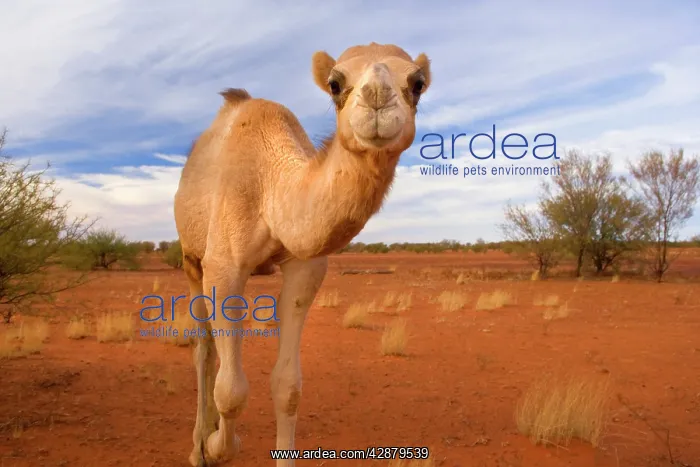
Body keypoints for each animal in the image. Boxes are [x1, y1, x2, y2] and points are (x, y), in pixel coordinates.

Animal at [173, 42, 431, 466]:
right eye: (335, 83)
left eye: (418, 83)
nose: (377, 97)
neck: (271, 188)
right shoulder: (223, 269)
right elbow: (231, 391)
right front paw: (216, 447)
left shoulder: (304, 268)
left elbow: (288, 386)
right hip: (190, 259)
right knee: (203, 351)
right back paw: (198, 445)